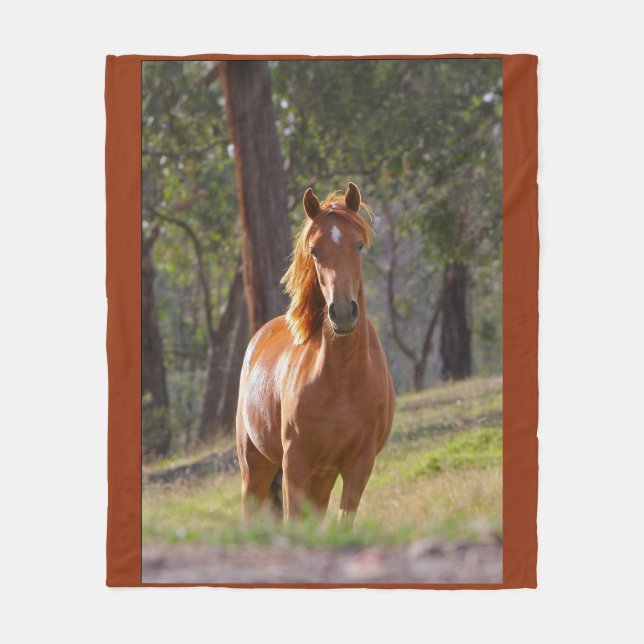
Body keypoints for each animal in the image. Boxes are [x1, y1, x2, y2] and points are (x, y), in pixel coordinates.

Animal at [235, 182, 395, 525]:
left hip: (322, 477)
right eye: (315, 250)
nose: (344, 312)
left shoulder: (358, 464)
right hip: (256, 466)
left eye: (358, 245)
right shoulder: (295, 462)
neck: (344, 379)